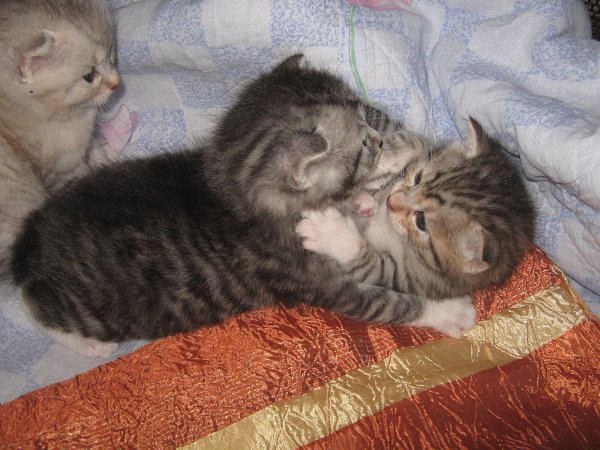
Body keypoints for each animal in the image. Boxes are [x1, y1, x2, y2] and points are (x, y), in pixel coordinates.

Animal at [10, 54, 475, 358]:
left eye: (368, 116)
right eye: (366, 144)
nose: (384, 139)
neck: (231, 189)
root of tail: (35, 234)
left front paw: (360, 203)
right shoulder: (317, 279)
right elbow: (391, 301)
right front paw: (448, 311)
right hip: (89, 309)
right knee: (32, 305)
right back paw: (84, 343)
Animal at [297, 117, 536, 299]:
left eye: (421, 222)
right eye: (418, 177)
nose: (390, 201)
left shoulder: (417, 280)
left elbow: (373, 265)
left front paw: (330, 232)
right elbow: (418, 142)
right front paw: (384, 159)